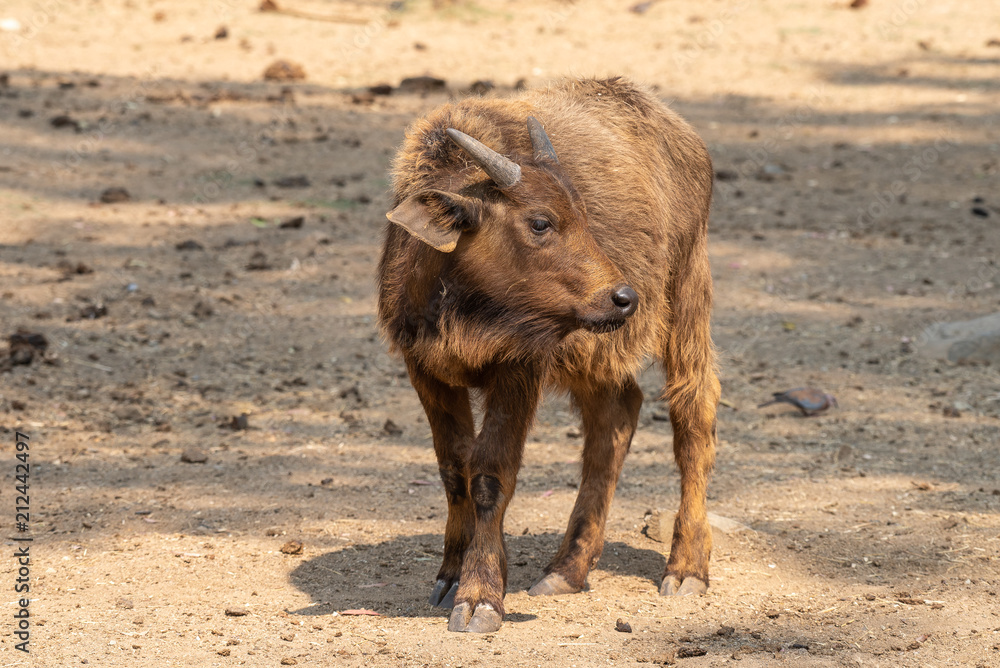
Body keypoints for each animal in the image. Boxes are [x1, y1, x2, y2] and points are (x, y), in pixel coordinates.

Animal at [377, 77, 719, 633]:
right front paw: (450, 576)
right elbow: (453, 469)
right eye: (540, 223)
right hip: (595, 354)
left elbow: (489, 474)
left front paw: (480, 596)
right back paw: (566, 569)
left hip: (689, 295)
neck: (462, 302)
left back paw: (686, 569)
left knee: (693, 416)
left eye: (584, 214)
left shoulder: (519, 370)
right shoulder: (425, 371)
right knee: (615, 419)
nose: (623, 298)